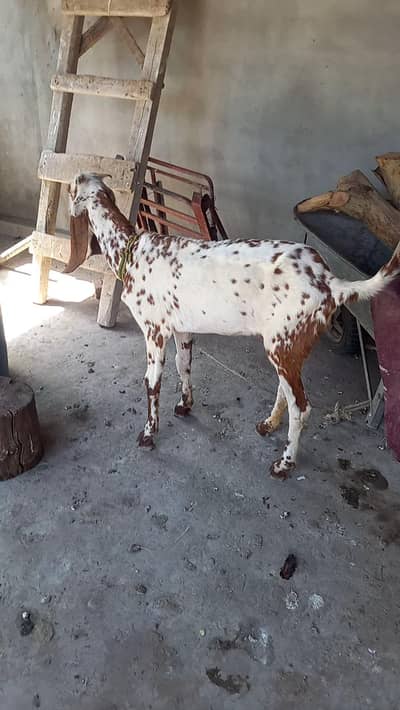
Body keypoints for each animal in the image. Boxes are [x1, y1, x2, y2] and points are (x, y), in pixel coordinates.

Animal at [65, 173, 400, 479]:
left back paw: (284, 464)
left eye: (71, 188)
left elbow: (151, 382)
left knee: (301, 408)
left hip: (283, 345)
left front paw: (148, 434)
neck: (131, 251)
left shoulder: (154, 330)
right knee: (286, 392)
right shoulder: (182, 328)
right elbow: (184, 365)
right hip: (288, 345)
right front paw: (185, 405)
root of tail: (331, 283)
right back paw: (268, 425)